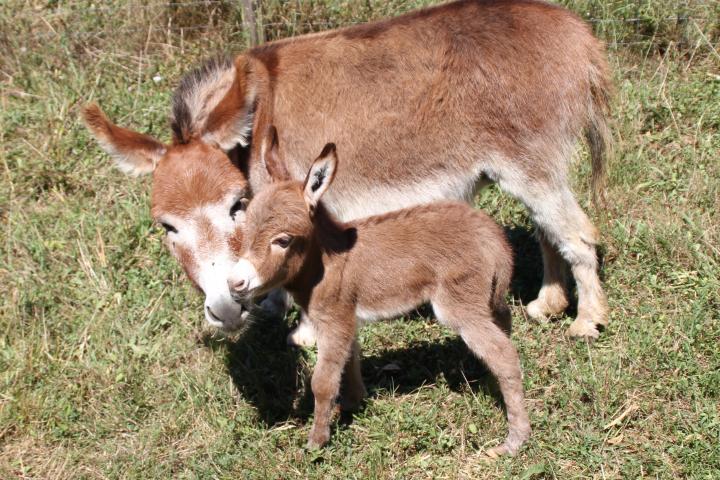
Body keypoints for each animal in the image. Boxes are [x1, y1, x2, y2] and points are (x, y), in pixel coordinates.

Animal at [228, 128, 532, 458]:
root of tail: (492, 235)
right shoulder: (347, 319)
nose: (235, 284)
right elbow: (349, 361)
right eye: (245, 232)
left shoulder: (334, 320)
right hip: (488, 296)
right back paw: (491, 384)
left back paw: (515, 439)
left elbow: (322, 381)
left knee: (503, 353)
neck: (326, 262)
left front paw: (316, 442)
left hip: (458, 303)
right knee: (503, 327)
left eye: (282, 241)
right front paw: (351, 404)